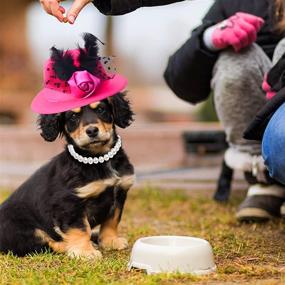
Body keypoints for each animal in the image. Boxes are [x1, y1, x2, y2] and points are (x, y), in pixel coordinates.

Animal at [0, 94, 135, 258]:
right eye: (73, 117)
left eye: (101, 109)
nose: (92, 131)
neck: (99, 159)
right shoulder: (69, 203)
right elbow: (81, 228)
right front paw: (85, 252)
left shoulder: (120, 192)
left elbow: (112, 220)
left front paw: (110, 241)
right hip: (22, 229)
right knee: (43, 245)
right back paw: (73, 245)